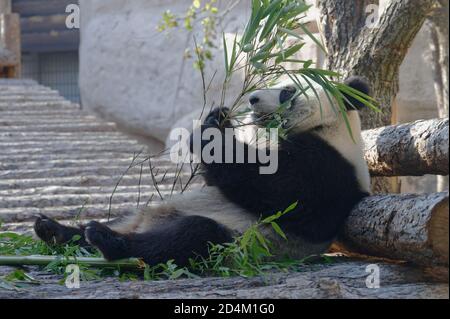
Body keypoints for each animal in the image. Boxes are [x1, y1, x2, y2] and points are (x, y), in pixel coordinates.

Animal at [34, 76, 370, 266]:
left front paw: (209, 133)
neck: (331, 127)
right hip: (142, 213)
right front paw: (218, 117)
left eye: (287, 91)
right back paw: (55, 230)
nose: (252, 98)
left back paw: (108, 240)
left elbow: (276, 189)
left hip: (240, 242)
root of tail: (142, 225)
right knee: (120, 219)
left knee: (189, 238)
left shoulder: (330, 167)